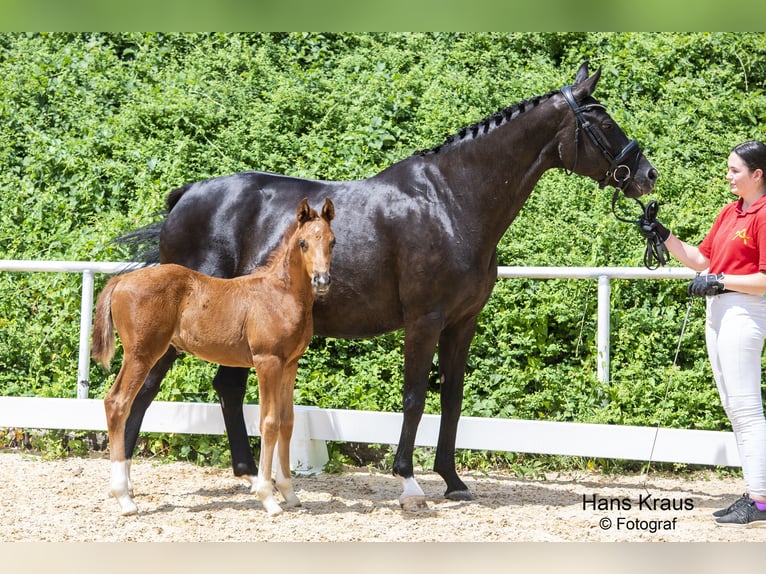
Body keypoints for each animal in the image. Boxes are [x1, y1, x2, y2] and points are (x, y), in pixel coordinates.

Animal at [117, 62, 656, 512]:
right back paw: (127, 487)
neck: (451, 201)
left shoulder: (462, 322)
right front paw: (409, 482)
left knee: (226, 388)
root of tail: (186, 196)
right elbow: (415, 397)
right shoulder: (424, 320)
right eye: (604, 122)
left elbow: (452, 397)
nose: (647, 175)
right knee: (141, 392)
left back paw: (253, 478)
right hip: (170, 336)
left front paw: (453, 480)